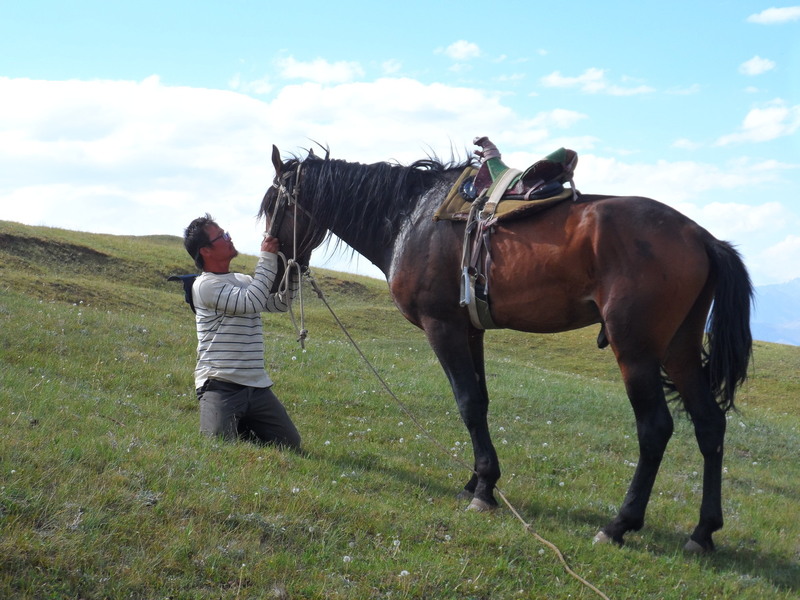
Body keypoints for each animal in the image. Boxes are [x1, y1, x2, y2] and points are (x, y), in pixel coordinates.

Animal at [260, 144, 752, 552]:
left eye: (274, 207)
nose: (277, 273)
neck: (409, 218)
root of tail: (703, 237)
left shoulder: (443, 327)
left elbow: (468, 403)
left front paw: (483, 490)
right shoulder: (470, 330)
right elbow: (481, 401)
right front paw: (477, 480)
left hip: (636, 350)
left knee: (655, 429)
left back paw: (619, 525)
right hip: (678, 349)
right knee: (710, 424)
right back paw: (703, 532)